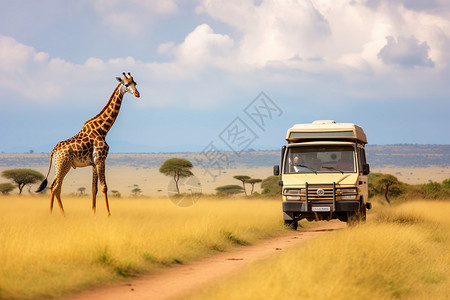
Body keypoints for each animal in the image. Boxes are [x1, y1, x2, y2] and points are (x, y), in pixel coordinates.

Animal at [36, 72, 140, 216]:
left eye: (135, 83)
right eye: (126, 84)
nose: (137, 93)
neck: (103, 129)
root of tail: (53, 151)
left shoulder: (94, 163)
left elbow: (93, 189)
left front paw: (93, 213)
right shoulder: (101, 160)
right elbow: (104, 187)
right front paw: (108, 214)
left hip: (59, 166)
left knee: (53, 187)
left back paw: (55, 213)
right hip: (63, 165)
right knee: (55, 187)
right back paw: (60, 214)